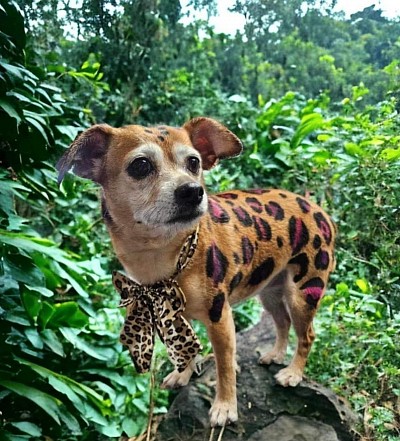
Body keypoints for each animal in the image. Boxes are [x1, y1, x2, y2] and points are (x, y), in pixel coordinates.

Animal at [57, 117, 336, 426]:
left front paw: (225, 407)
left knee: (307, 334)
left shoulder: (220, 319)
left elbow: (224, 367)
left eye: (194, 162)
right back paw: (275, 354)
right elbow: (185, 347)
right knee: (282, 321)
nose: (192, 191)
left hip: (303, 292)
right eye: (140, 165)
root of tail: (317, 208)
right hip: (270, 290)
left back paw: (293, 373)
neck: (164, 255)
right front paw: (183, 374)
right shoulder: (174, 313)